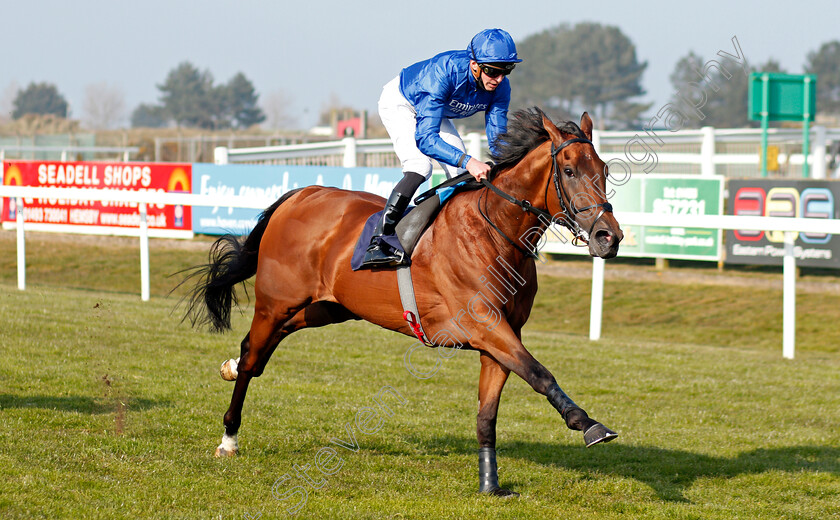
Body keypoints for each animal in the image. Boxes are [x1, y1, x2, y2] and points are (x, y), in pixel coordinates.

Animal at [187, 108, 628, 496]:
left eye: (604, 170)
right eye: (568, 171)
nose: (609, 236)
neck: (495, 232)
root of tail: (299, 195)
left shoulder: (501, 337)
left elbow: (488, 414)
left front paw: (490, 485)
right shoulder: (485, 326)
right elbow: (540, 374)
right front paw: (588, 424)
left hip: (326, 308)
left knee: (257, 350)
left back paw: (230, 367)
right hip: (276, 301)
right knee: (254, 355)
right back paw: (228, 437)